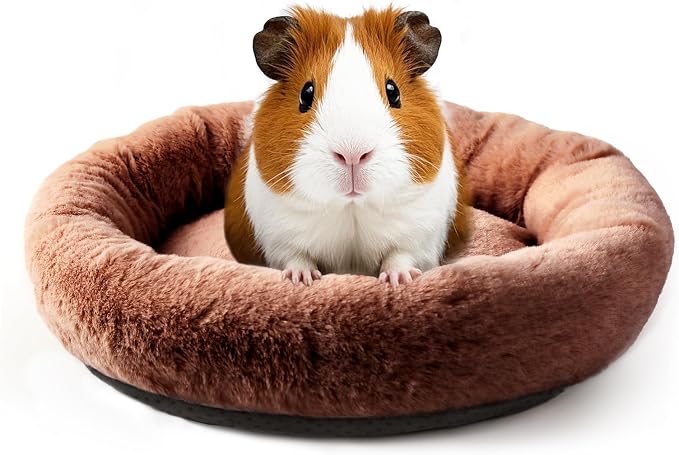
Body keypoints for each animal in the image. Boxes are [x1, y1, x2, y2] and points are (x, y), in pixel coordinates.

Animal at [225, 6, 466, 286]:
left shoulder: (420, 237)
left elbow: (399, 255)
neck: (351, 209)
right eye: (306, 94)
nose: (352, 154)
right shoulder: (279, 239)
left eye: (393, 91)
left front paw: (400, 280)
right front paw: (303, 279)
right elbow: (296, 257)